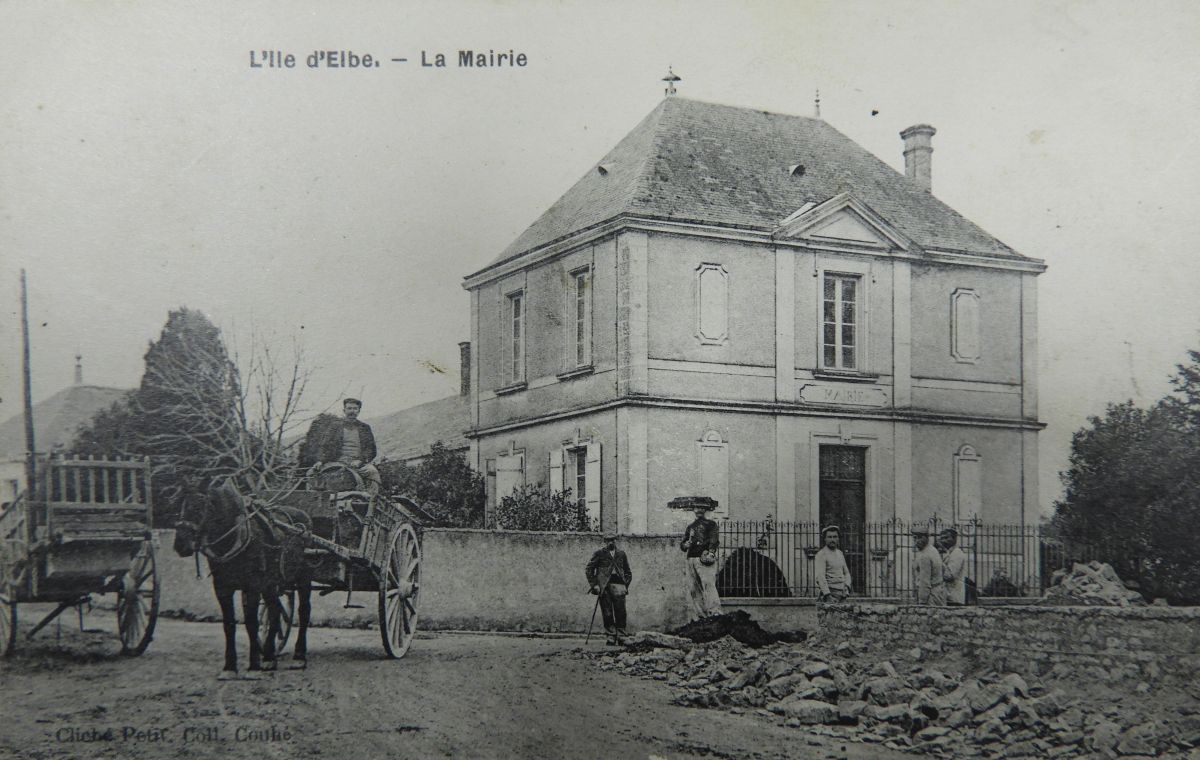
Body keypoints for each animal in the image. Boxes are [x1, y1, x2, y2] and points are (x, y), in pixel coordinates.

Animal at [175, 475, 316, 677]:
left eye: (198, 507)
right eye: (179, 505)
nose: (180, 545)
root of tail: (304, 516)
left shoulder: (253, 586)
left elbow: (251, 623)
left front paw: (253, 666)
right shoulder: (222, 588)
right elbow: (229, 625)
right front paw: (229, 667)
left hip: (303, 579)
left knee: (303, 611)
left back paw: (298, 656)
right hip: (271, 584)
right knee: (274, 611)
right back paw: (269, 656)